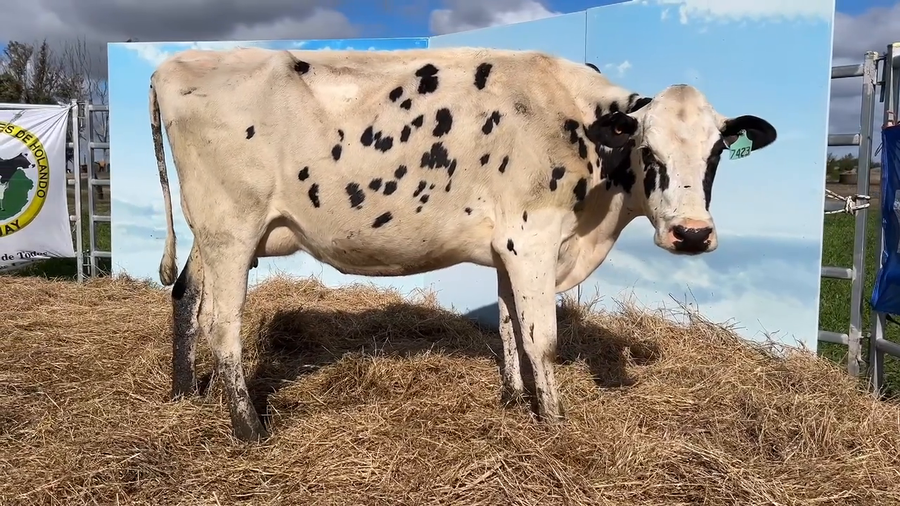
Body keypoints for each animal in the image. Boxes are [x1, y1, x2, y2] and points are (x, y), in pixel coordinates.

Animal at [148, 46, 777, 442]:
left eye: (718, 152)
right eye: (648, 149)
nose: (691, 233)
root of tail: (174, 63)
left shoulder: (508, 246)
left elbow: (509, 325)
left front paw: (516, 403)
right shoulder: (533, 237)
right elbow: (543, 339)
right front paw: (556, 424)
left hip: (213, 234)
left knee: (186, 296)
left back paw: (184, 395)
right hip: (232, 228)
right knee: (222, 323)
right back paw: (248, 428)